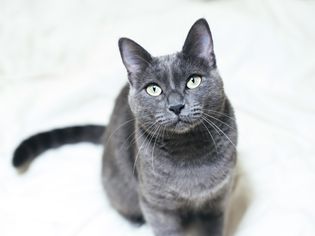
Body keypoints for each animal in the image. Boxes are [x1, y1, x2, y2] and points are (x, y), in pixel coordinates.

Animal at [13, 18, 238, 236]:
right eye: (154, 89)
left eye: (193, 81)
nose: (176, 106)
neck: (188, 150)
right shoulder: (156, 205)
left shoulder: (218, 199)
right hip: (120, 187)